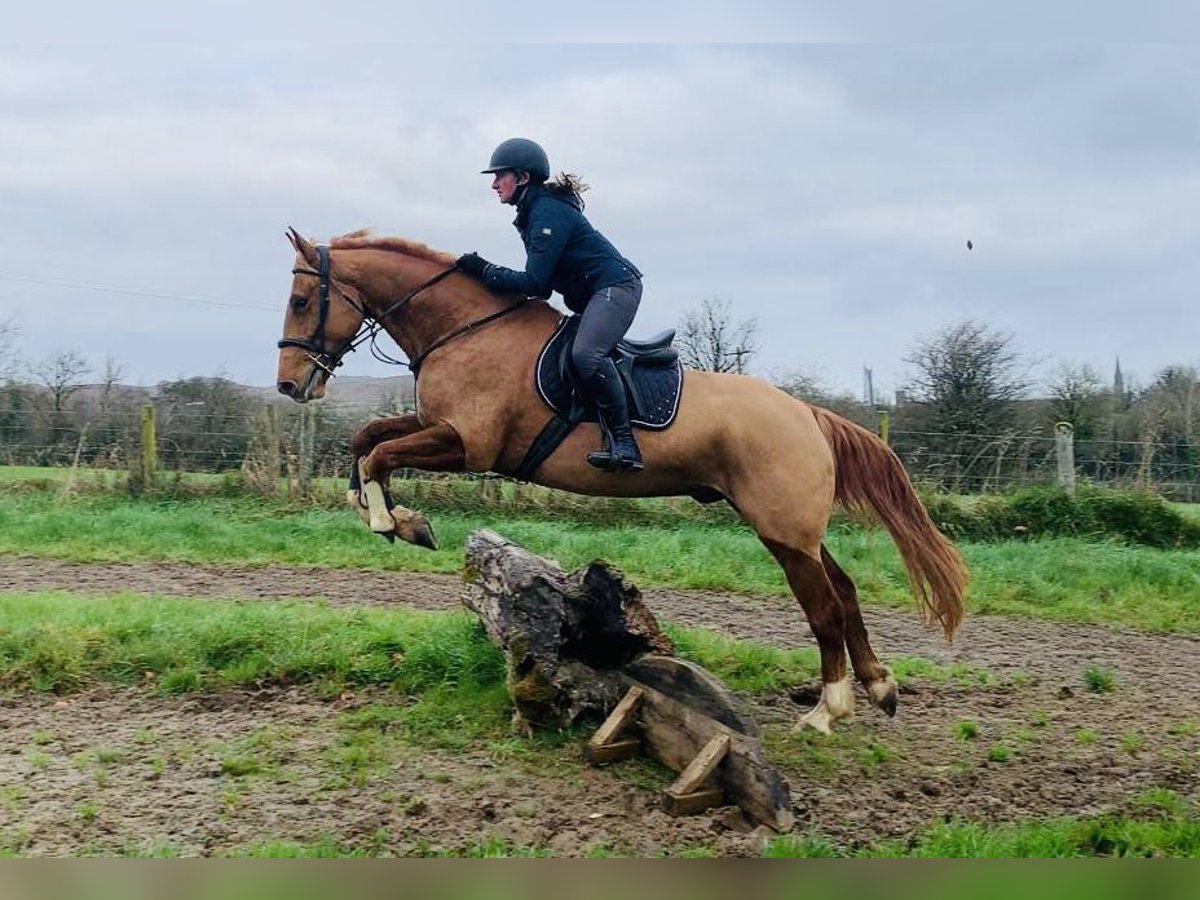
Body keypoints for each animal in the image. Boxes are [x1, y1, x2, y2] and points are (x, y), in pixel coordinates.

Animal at [272, 225, 964, 734]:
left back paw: (829, 709)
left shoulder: (466, 444)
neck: (463, 329)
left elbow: (379, 456)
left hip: (783, 531)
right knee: (843, 591)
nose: (289, 385)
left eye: (302, 301)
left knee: (823, 606)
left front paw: (391, 522)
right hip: (794, 530)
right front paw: (400, 519)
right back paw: (880, 685)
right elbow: (366, 440)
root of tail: (807, 413)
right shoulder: (435, 426)